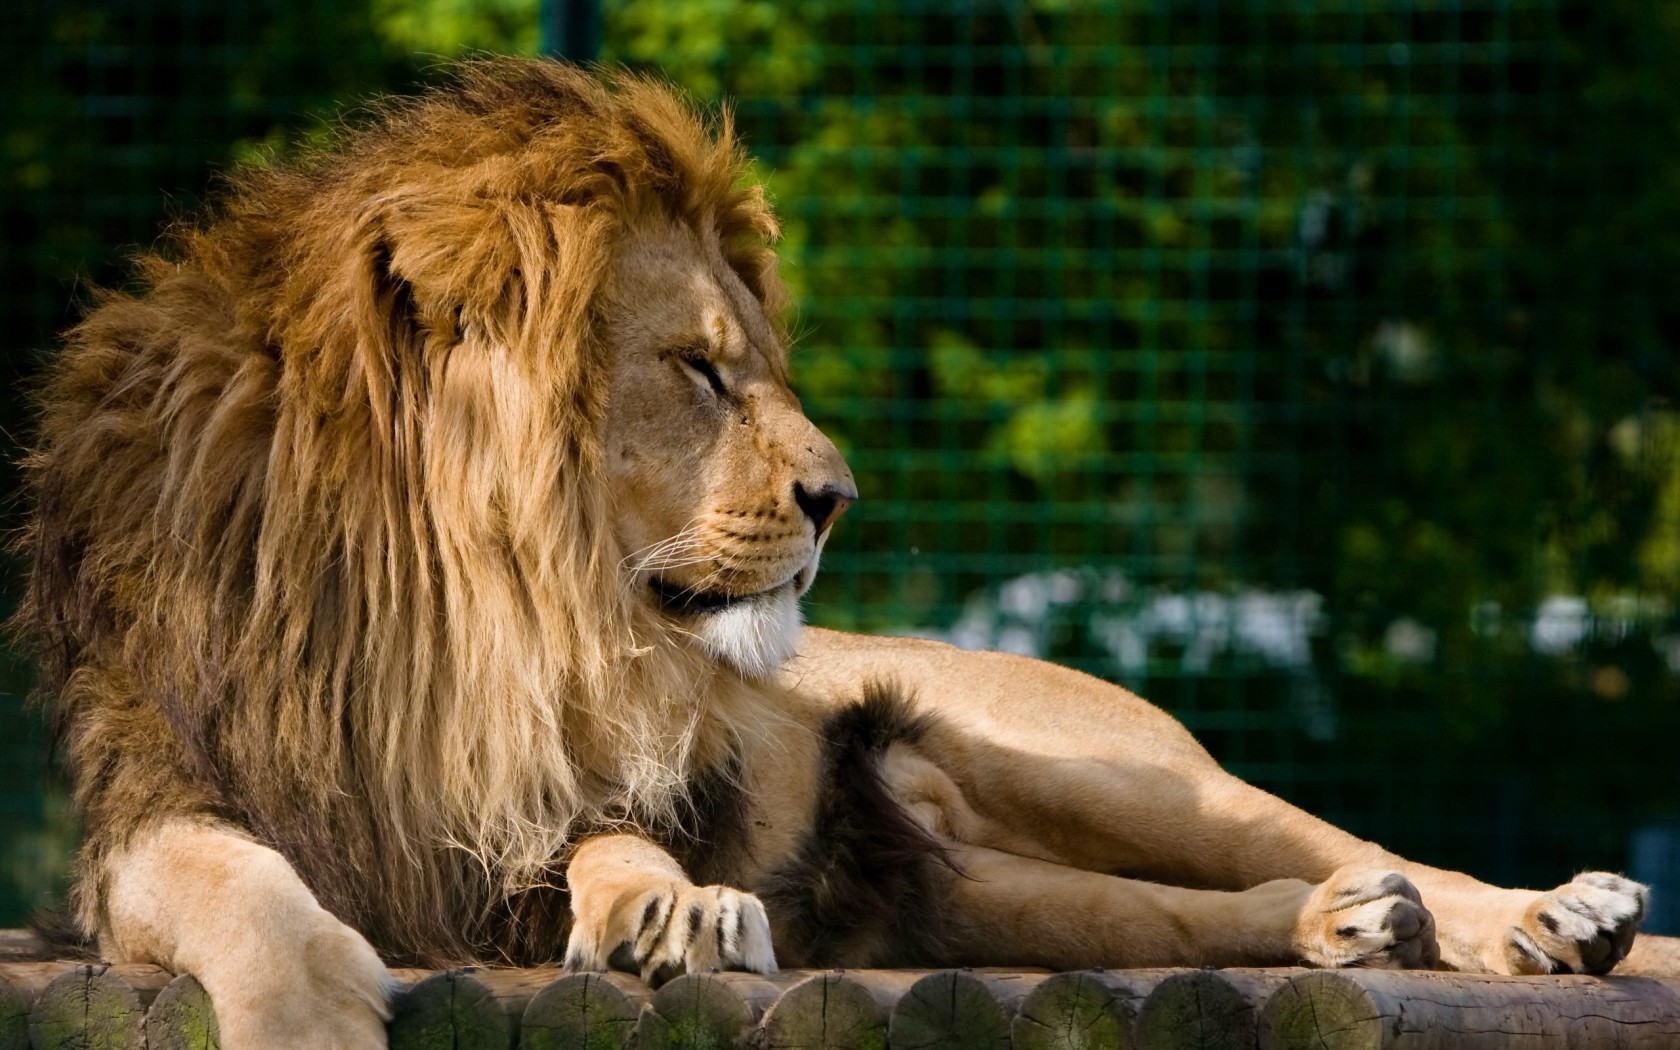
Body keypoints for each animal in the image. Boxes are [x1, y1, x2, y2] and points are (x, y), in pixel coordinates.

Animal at [26, 59, 1646, 1048]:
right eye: (699, 369)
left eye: (757, 364)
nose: (840, 497)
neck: (464, 616)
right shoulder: (151, 803)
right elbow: (235, 884)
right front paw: (305, 1006)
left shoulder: (555, 803)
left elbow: (611, 835)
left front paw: (666, 908)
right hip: (968, 892)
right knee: (1193, 917)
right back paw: (1348, 931)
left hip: (1115, 774)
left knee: (1336, 838)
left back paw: (1544, 916)